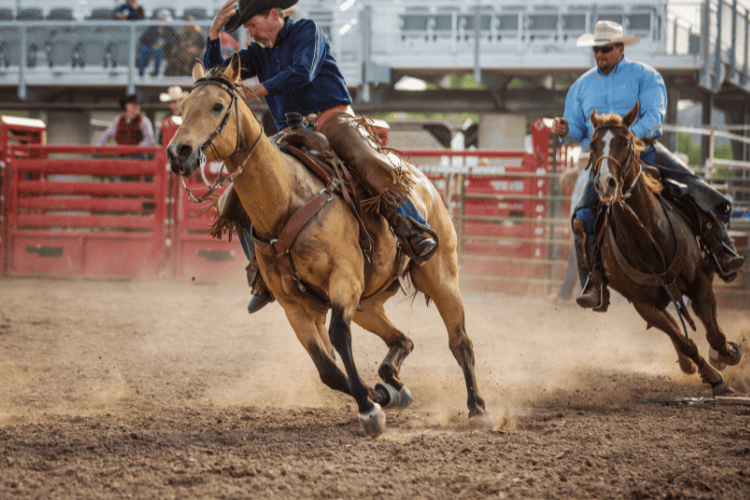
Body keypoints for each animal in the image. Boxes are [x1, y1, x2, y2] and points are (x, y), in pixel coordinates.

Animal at [166, 54, 494, 438]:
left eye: (217, 105)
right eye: (183, 108)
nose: (178, 152)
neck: (286, 199)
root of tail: (424, 182)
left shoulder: (344, 280)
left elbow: (338, 336)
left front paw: (369, 410)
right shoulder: (295, 306)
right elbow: (328, 369)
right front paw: (373, 397)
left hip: (440, 276)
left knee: (460, 341)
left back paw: (477, 409)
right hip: (367, 303)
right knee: (403, 341)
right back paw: (392, 386)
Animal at [592, 103, 744, 396]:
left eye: (625, 141)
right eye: (593, 144)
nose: (605, 183)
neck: (648, 235)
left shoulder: (700, 281)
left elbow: (715, 334)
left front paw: (727, 354)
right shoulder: (643, 304)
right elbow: (685, 341)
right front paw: (713, 376)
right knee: (677, 327)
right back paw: (687, 364)